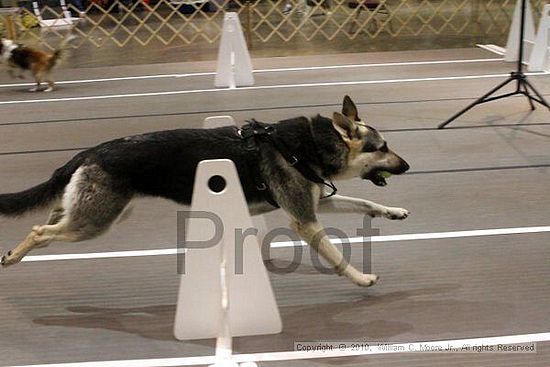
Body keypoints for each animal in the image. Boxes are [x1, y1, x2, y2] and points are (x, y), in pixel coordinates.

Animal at [0, 96, 410, 288]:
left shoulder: (315, 203)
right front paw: (360, 278)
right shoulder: (305, 221)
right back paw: (13, 257)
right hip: (95, 223)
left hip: (96, 213)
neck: (308, 145)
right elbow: (336, 257)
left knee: (53, 217)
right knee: (39, 230)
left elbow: (364, 202)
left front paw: (391, 211)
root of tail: (90, 151)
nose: (407, 166)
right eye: (383, 147)